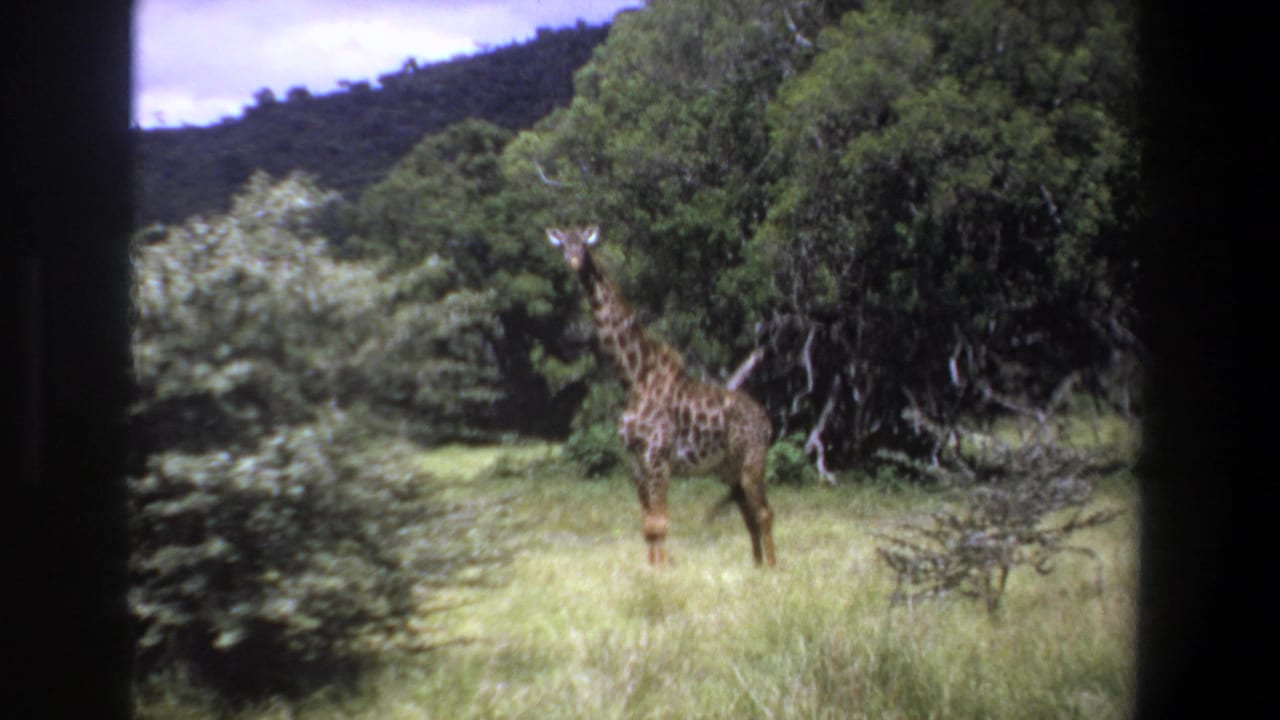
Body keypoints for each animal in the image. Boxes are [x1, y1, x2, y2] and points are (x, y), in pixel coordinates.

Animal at [547, 226, 776, 567]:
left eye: (584, 246)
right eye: (563, 245)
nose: (574, 262)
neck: (634, 379)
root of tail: (767, 421)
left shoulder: (658, 456)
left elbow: (660, 523)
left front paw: (661, 574)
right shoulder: (635, 460)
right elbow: (648, 525)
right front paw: (651, 571)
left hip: (752, 461)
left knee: (764, 513)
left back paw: (772, 570)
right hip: (729, 469)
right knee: (749, 515)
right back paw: (757, 569)